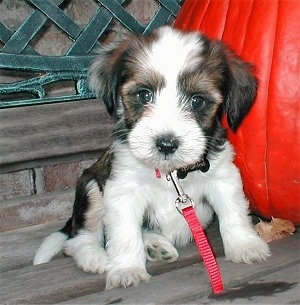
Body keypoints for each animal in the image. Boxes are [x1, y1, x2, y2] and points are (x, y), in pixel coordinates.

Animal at [34, 25, 270, 288]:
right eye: (144, 95)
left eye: (197, 100)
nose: (166, 143)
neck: (171, 173)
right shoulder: (122, 189)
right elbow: (125, 233)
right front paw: (126, 269)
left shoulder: (223, 177)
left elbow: (234, 212)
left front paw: (245, 245)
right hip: (92, 188)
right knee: (79, 239)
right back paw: (95, 258)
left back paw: (155, 245)